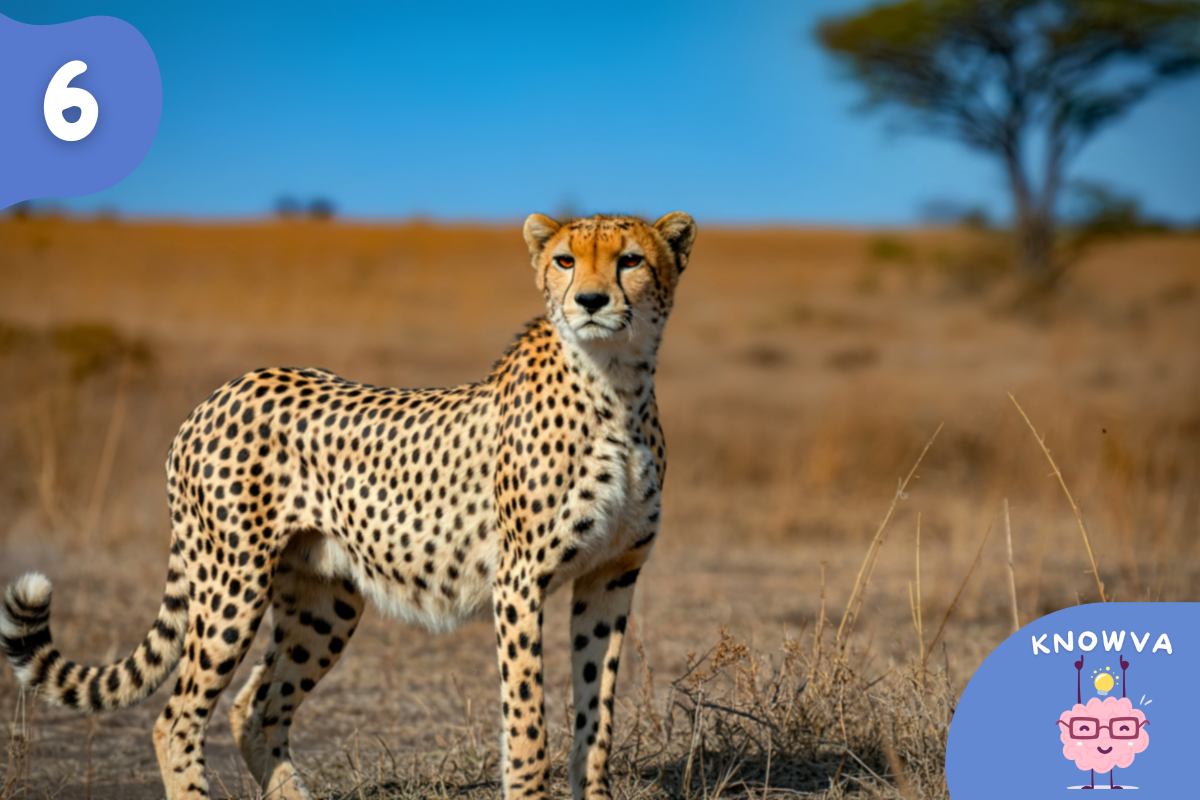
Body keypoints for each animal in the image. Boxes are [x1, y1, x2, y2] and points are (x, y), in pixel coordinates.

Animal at [0, 211, 697, 800]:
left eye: (630, 260)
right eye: (563, 261)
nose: (590, 301)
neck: (617, 387)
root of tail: (217, 394)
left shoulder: (611, 576)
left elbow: (596, 714)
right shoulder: (520, 581)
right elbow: (527, 720)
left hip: (323, 599)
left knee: (255, 709)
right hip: (232, 583)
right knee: (177, 718)